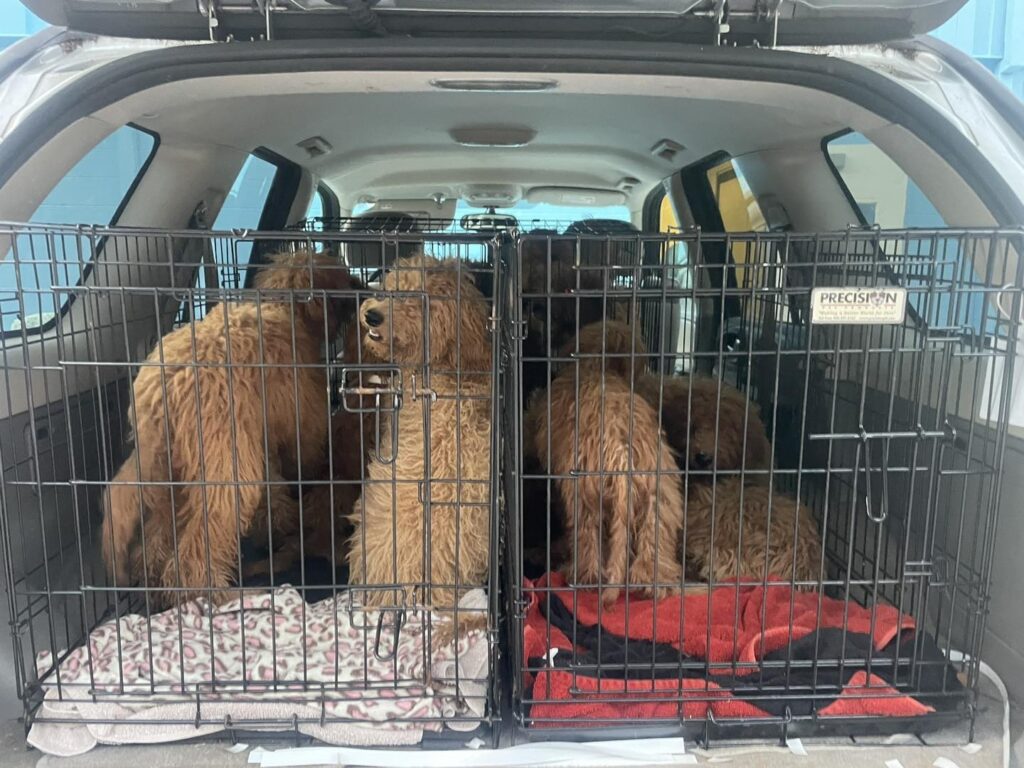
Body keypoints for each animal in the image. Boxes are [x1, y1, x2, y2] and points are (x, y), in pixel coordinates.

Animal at [103, 247, 360, 606]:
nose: (362, 287)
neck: (285, 307)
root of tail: (163, 386)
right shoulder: (301, 424)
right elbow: (301, 460)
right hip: (225, 468)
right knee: (194, 552)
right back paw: (218, 593)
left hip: (172, 467)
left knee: (157, 536)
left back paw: (154, 580)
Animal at [524, 319, 684, 606]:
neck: (596, 366)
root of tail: (623, 457)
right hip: (659, 503)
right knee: (652, 553)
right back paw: (654, 587)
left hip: (585, 501)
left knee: (589, 545)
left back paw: (581, 575)